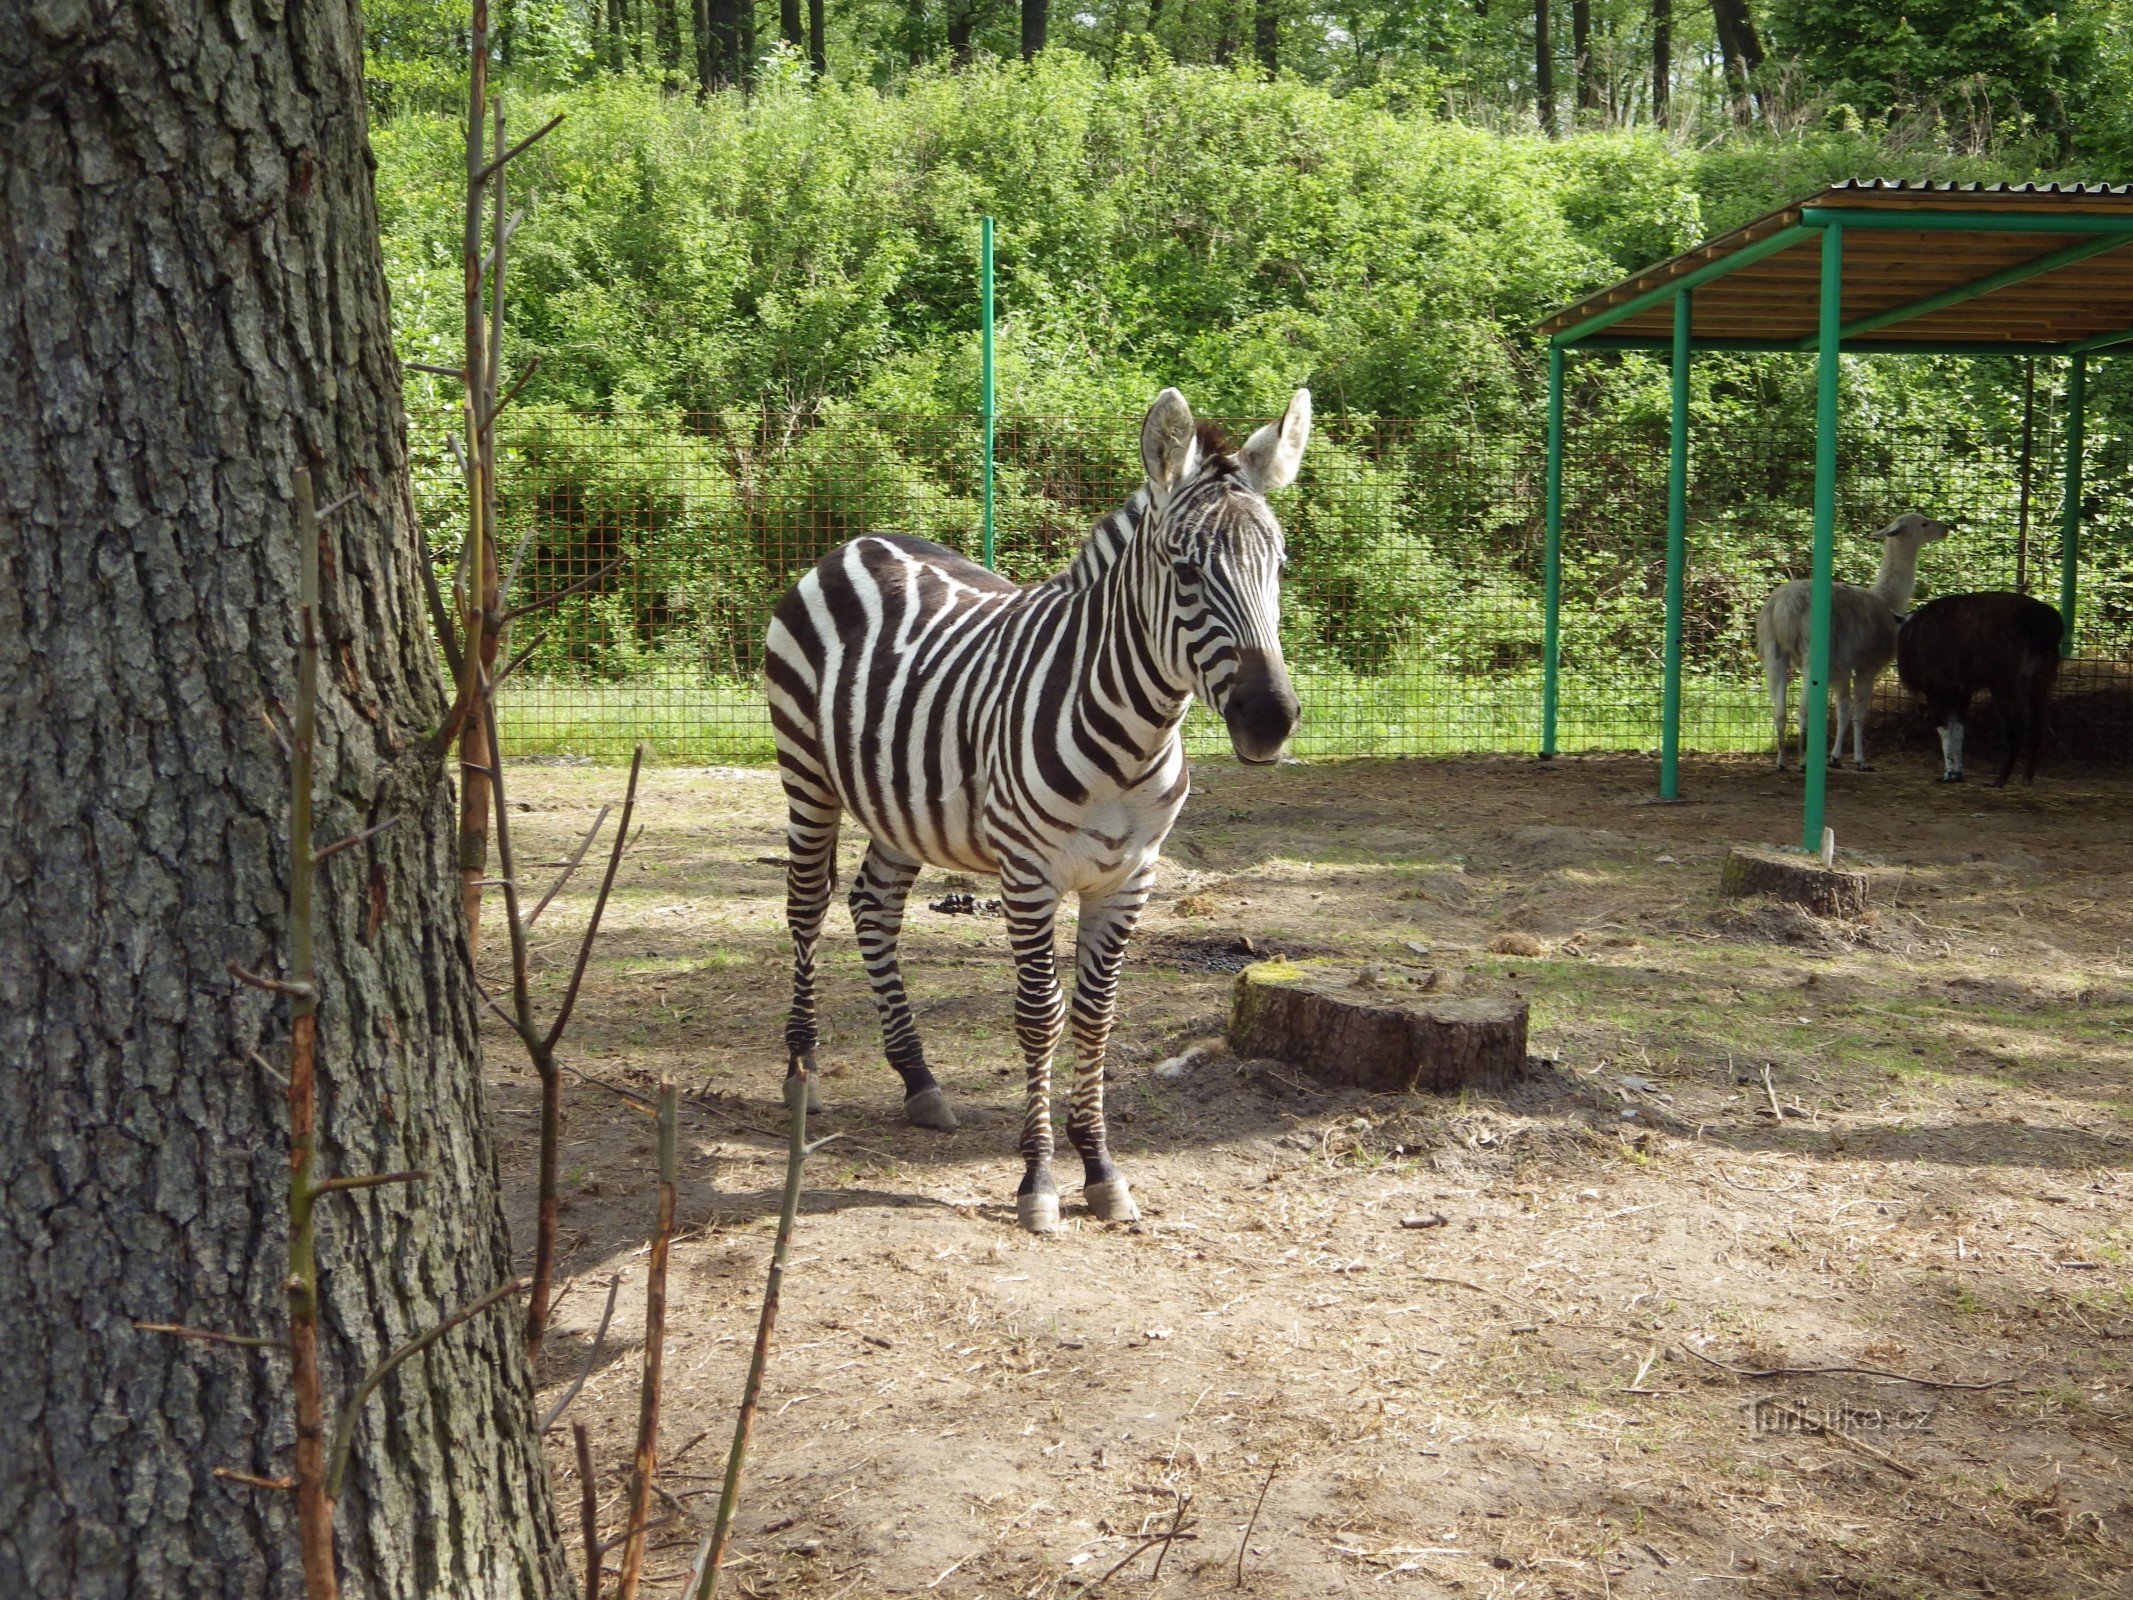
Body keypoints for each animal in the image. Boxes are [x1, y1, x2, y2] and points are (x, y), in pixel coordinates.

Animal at [759, 392, 1305, 1237]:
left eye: (1277, 567)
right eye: (1183, 570)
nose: (1269, 720)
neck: (1133, 736)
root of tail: (857, 540)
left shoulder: (1130, 877)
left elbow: (1095, 1018)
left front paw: (1102, 1170)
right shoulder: (1027, 875)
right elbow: (1040, 1017)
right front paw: (1039, 1178)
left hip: (900, 802)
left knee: (872, 906)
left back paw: (918, 1079)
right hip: (806, 775)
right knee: (807, 907)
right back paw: (802, 1071)